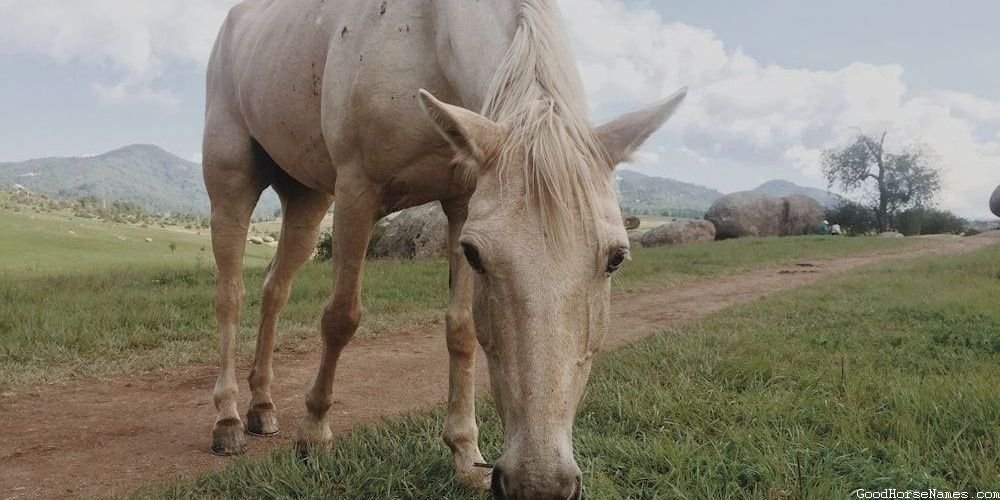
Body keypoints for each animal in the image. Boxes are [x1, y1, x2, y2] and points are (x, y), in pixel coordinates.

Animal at [203, 1, 688, 498]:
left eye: (616, 259)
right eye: (477, 255)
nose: (539, 484)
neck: (428, 31)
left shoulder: (461, 201)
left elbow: (461, 330)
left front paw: (465, 454)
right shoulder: (357, 191)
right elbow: (340, 317)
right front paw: (315, 432)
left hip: (306, 199)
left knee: (274, 290)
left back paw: (262, 406)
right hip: (232, 180)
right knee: (231, 296)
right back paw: (229, 419)